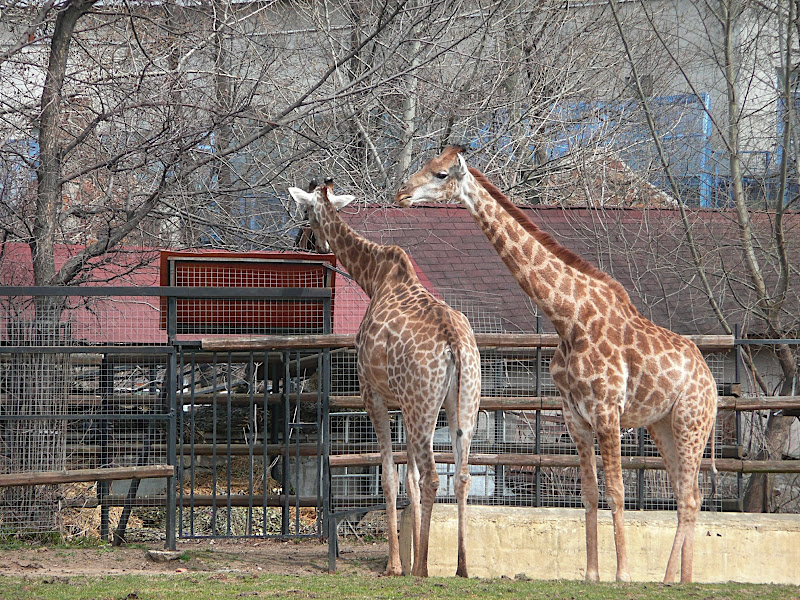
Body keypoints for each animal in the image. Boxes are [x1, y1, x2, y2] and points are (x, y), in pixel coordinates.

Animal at [288, 180, 482, 577]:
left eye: (305, 211)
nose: (309, 243)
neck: (373, 277)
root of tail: (456, 345)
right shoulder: (401, 405)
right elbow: (407, 479)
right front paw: (406, 556)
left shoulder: (373, 394)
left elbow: (390, 477)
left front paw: (395, 565)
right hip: (462, 404)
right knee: (462, 474)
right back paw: (461, 567)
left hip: (423, 405)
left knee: (434, 476)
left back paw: (422, 568)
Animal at [394, 146, 718, 583]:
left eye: (441, 174)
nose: (402, 194)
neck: (568, 318)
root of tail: (710, 379)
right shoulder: (574, 415)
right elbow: (591, 493)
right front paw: (592, 574)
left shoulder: (607, 411)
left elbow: (617, 491)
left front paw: (622, 575)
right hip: (662, 425)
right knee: (688, 494)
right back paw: (676, 580)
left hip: (691, 422)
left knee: (690, 496)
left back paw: (673, 579)